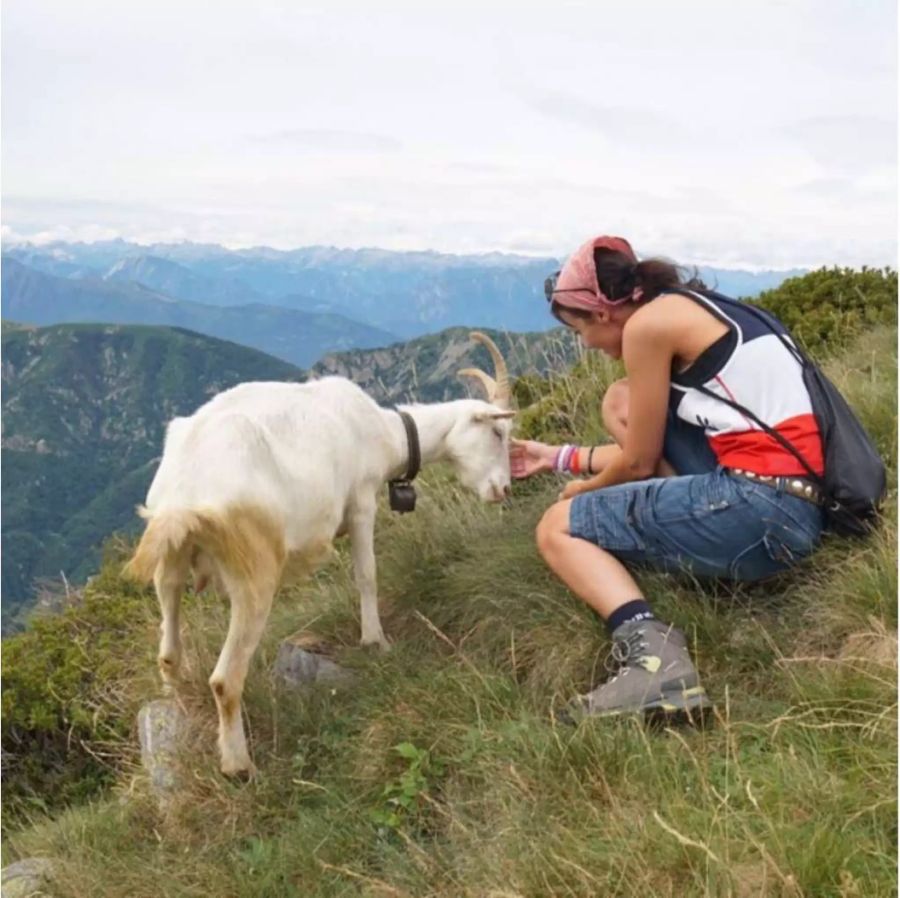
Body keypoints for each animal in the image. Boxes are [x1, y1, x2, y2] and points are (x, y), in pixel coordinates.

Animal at [125, 332, 512, 772]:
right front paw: (375, 641)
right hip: (253, 570)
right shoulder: (362, 502)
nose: (504, 489)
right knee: (225, 680)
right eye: (498, 433)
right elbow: (367, 574)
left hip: (169, 566)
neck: (386, 431)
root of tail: (184, 493)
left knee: (168, 653)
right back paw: (240, 766)